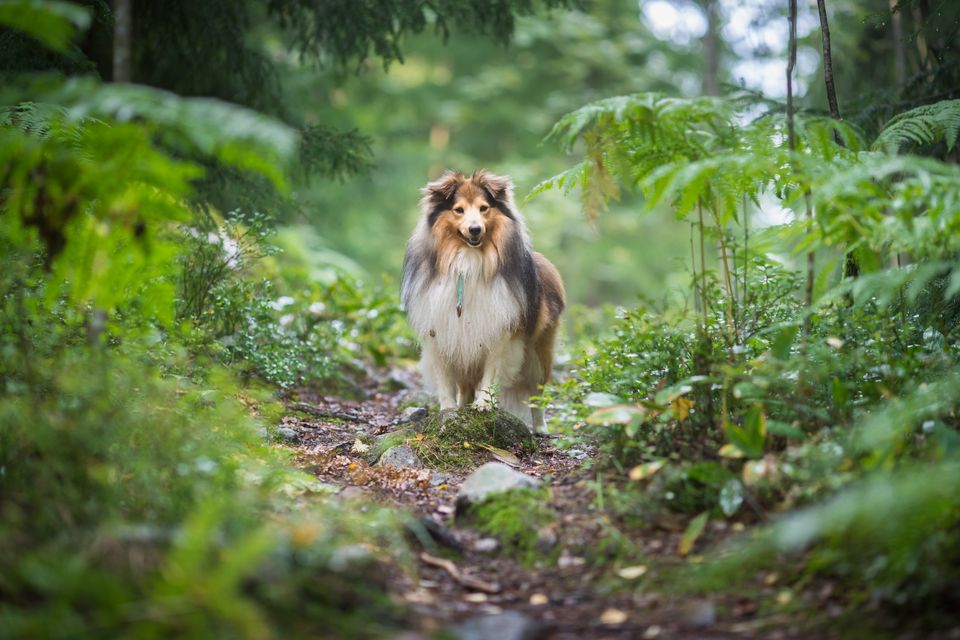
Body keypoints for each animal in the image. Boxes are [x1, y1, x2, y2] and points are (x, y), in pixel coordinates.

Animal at [402, 170, 568, 430]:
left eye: (484, 208)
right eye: (458, 210)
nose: (475, 230)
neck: (467, 263)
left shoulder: (500, 332)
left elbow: (492, 372)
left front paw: (484, 405)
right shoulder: (439, 334)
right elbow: (444, 380)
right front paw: (448, 410)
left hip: (539, 354)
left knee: (536, 394)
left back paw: (540, 428)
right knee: (465, 386)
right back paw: (462, 406)